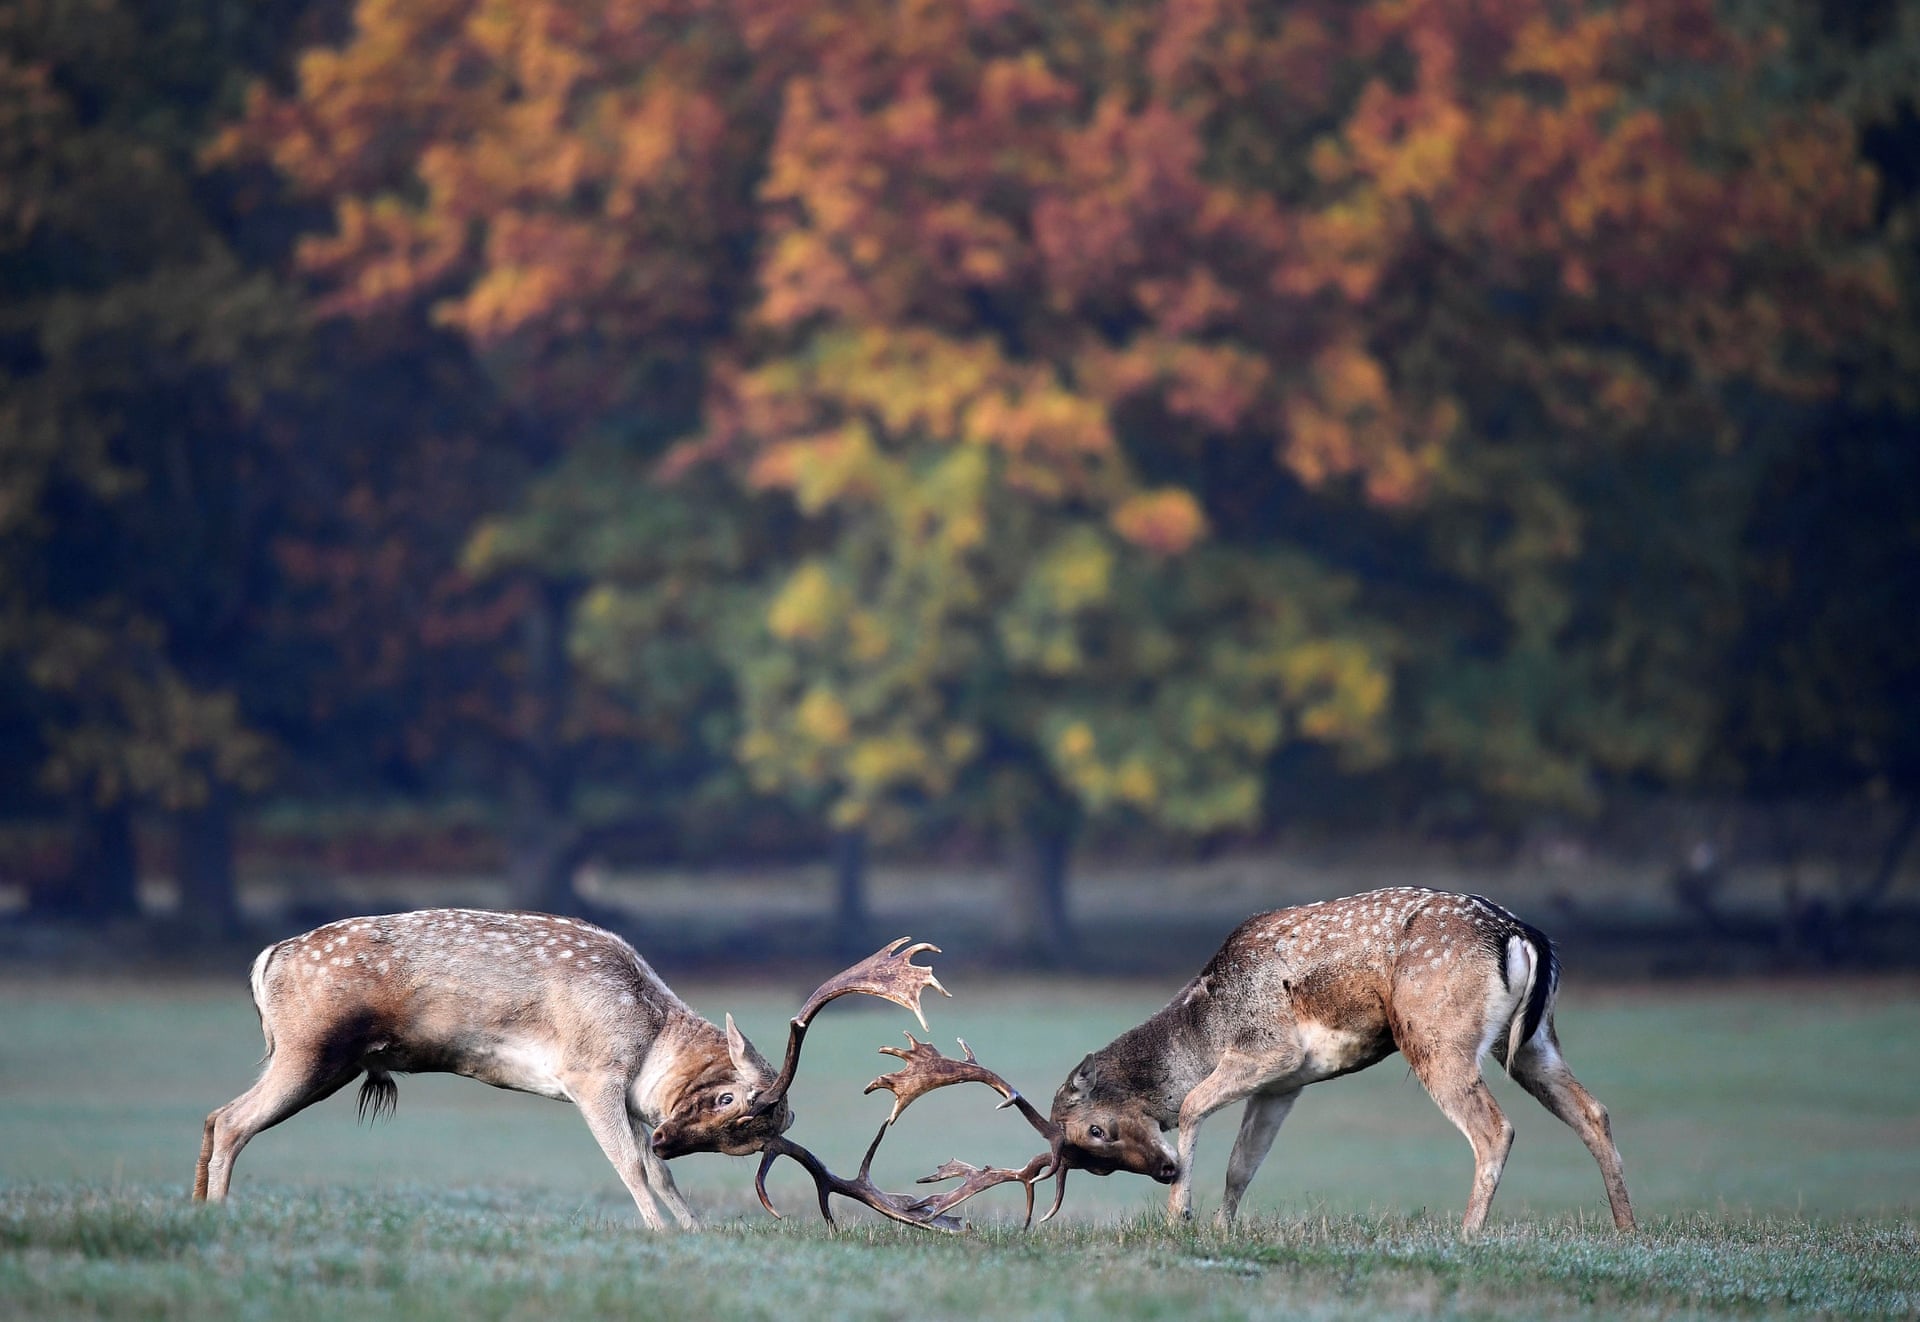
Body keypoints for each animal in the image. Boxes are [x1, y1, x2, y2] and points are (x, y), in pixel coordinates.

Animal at [191, 905, 940, 1227]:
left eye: (746, 1141)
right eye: (731, 1102)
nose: (668, 1135)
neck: (646, 1035)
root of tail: (265, 963)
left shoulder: (630, 1102)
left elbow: (662, 1176)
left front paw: (690, 1235)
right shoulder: (590, 1074)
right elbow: (632, 1168)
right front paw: (659, 1234)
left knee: (214, 1116)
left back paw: (198, 1208)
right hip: (311, 1048)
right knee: (230, 1120)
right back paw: (218, 1215)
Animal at [1036, 886, 1635, 1235]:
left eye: (1096, 1131)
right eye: (1094, 1160)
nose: (1164, 1173)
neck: (1205, 1027)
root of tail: (1522, 936)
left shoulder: (1272, 1046)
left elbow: (1191, 1103)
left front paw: (1180, 1217)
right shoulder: (1284, 1083)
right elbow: (1242, 1163)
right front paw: (1222, 1230)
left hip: (1436, 1034)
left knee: (1495, 1128)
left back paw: (1466, 1236)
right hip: (1534, 1041)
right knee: (1594, 1111)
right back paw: (1626, 1231)